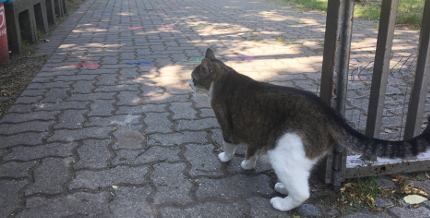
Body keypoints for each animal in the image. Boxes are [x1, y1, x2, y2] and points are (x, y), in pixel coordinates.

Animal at [188, 47, 430, 211]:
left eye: (193, 76)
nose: (189, 83)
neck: (224, 77)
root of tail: (329, 113)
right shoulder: (255, 130)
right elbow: (251, 151)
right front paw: (248, 164)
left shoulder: (227, 124)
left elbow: (229, 145)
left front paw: (225, 158)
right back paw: (283, 187)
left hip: (282, 150)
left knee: (302, 192)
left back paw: (282, 203)